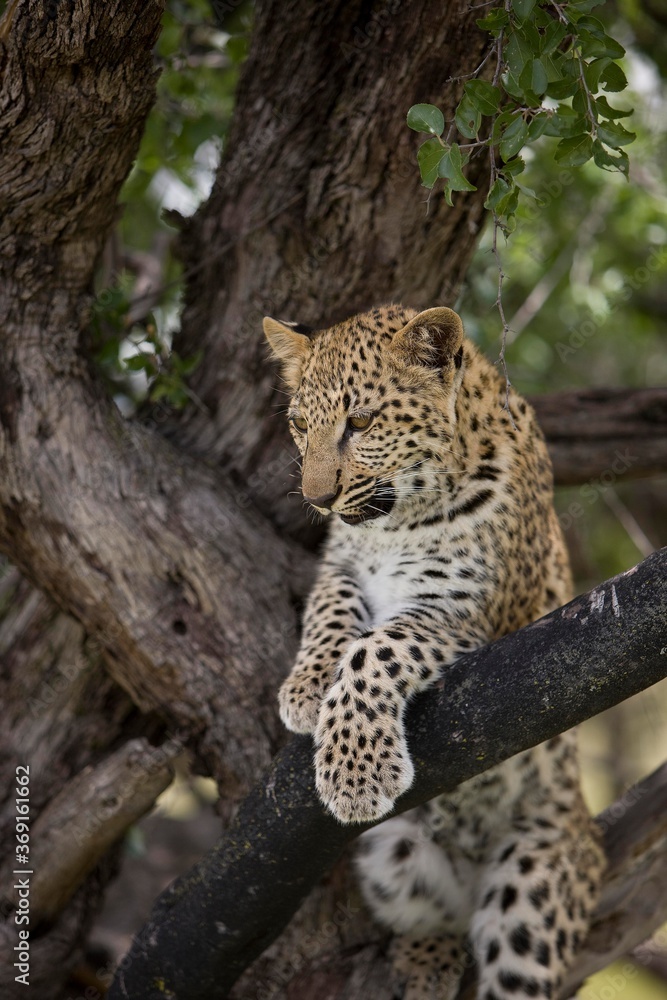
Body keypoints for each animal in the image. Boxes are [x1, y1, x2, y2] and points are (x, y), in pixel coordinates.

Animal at [264, 304, 605, 1000]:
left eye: (361, 423)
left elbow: (373, 650)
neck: (394, 524)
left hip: (532, 887)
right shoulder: (341, 565)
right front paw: (306, 690)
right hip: (391, 855)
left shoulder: (459, 613)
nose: (316, 499)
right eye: (300, 425)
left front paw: (355, 774)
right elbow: (330, 612)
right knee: (442, 917)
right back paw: (428, 959)